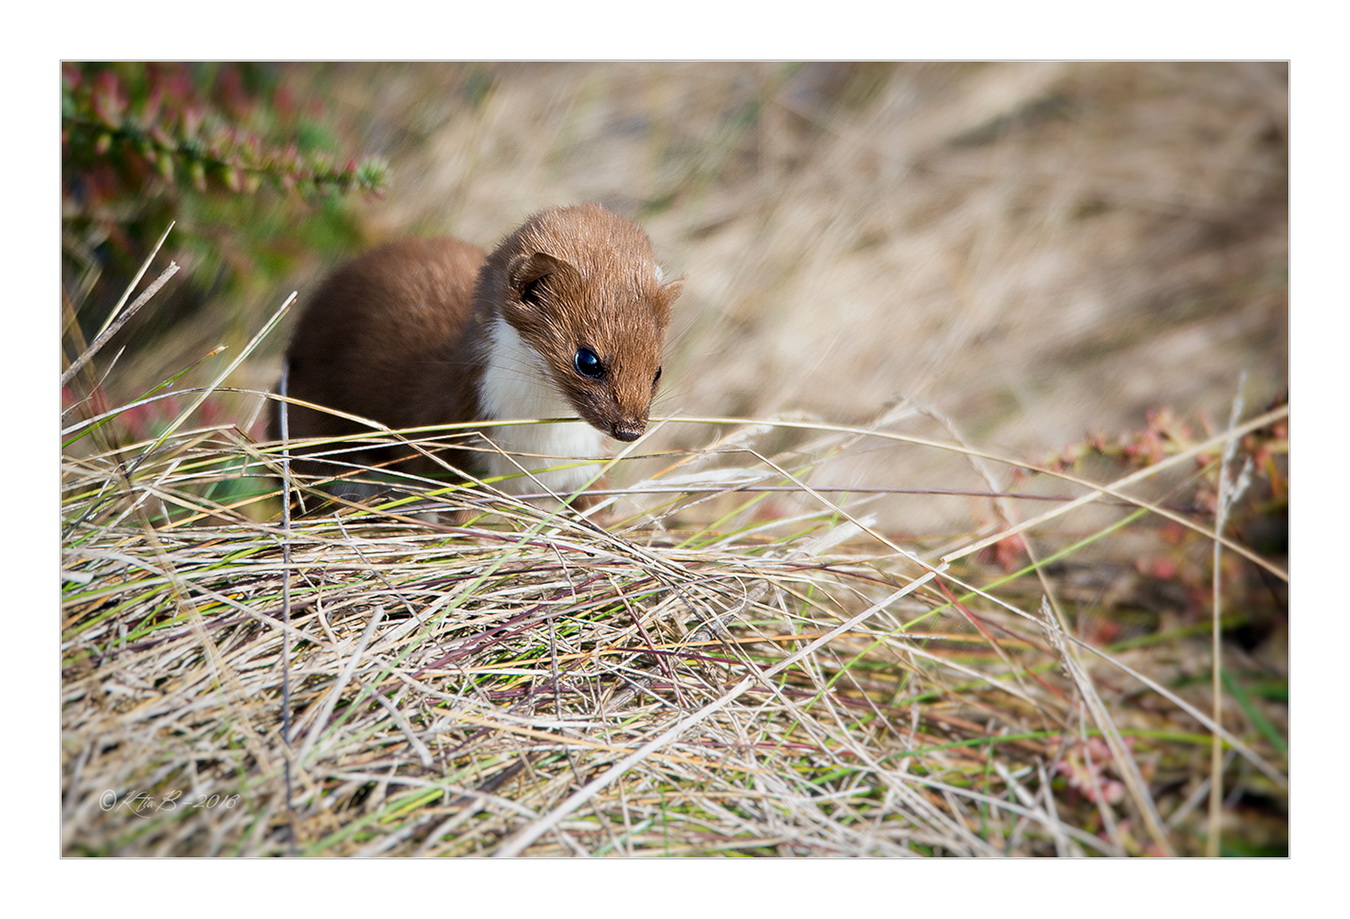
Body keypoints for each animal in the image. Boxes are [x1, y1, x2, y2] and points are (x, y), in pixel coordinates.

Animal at [274, 202, 680, 510]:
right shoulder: (454, 450)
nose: (629, 429)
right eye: (588, 360)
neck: (540, 448)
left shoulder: (588, 466)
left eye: (657, 370)